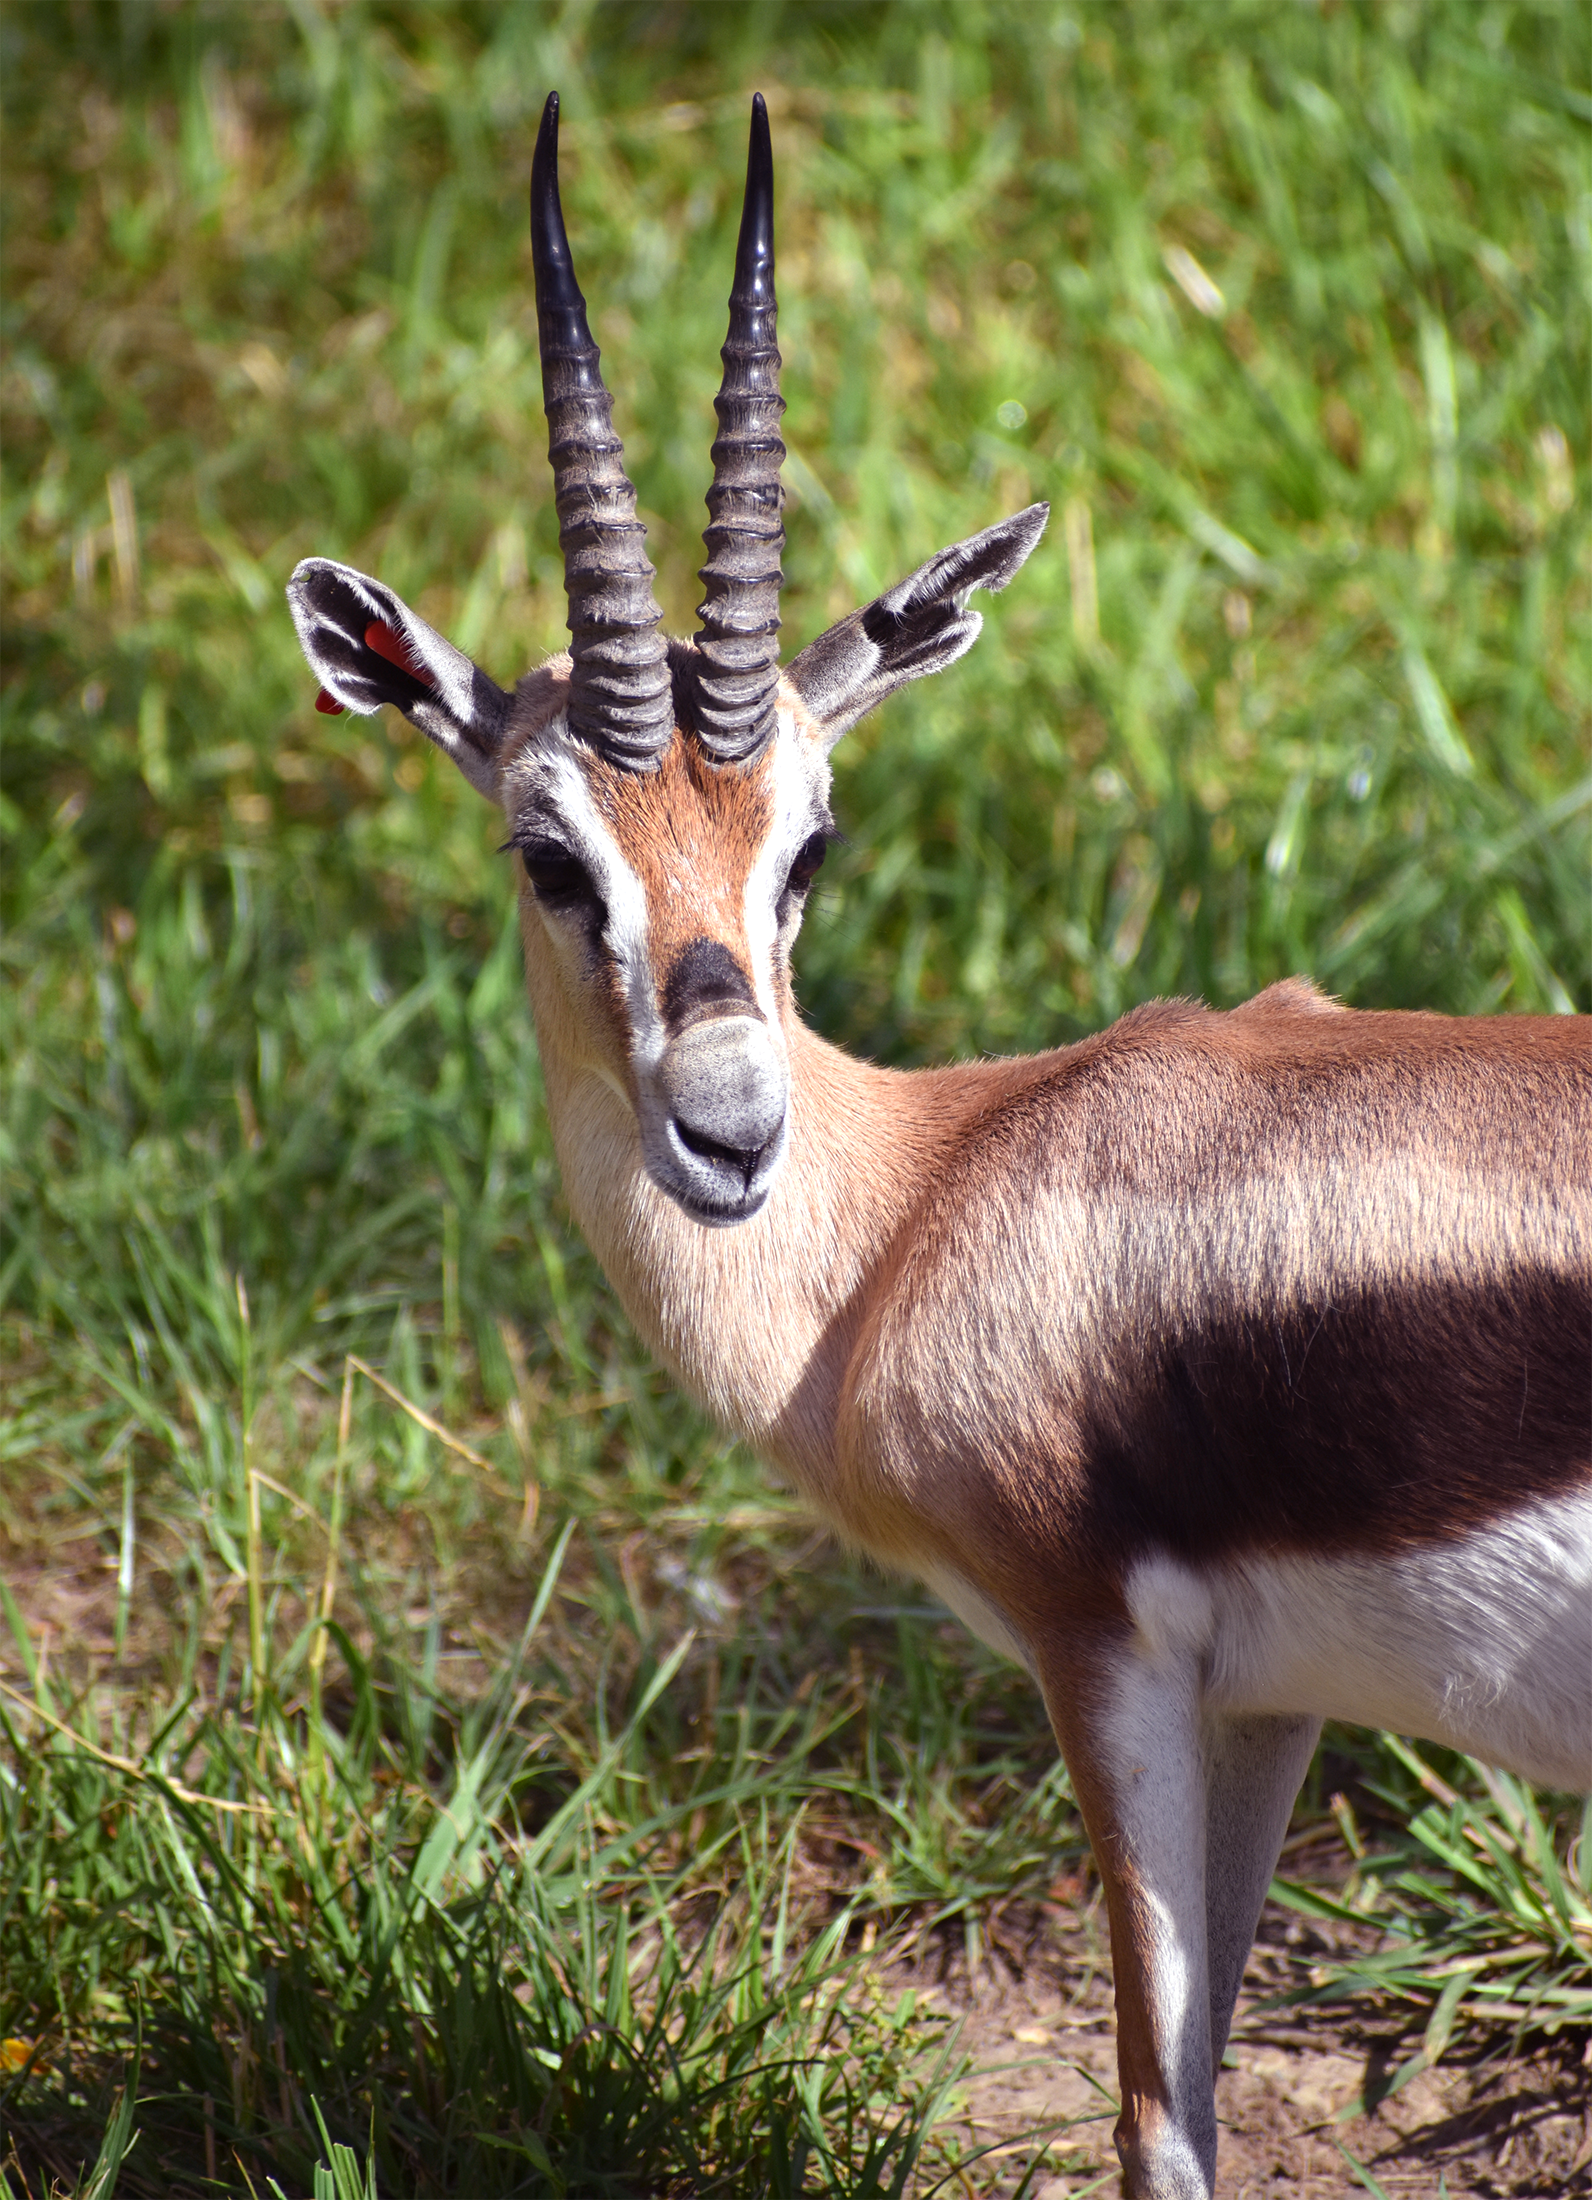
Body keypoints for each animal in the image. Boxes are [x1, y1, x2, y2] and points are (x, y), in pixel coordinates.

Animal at [288, 92, 1592, 2200]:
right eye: (548, 852)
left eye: (807, 840)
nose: (727, 1132)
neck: (922, 1198)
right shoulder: (1271, 1701)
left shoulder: (1100, 1652)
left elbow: (1156, 2122)